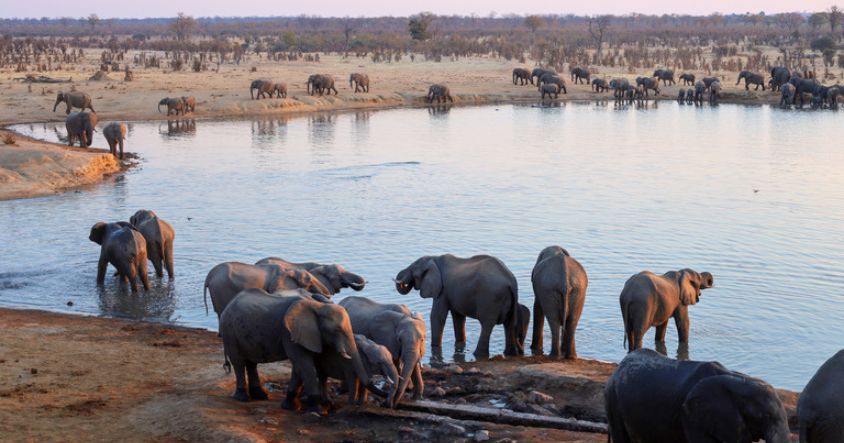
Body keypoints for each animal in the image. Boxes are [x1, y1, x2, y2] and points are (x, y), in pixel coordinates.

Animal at [219, 289, 381, 413]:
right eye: (336, 330)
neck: (317, 306)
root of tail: (228, 305)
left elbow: (299, 366)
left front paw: (291, 406)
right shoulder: (289, 332)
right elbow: (304, 364)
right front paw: (318, 410)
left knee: (252, 363)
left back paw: (261, 396)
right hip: (229, 331)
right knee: (239, 362)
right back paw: (243, 397)